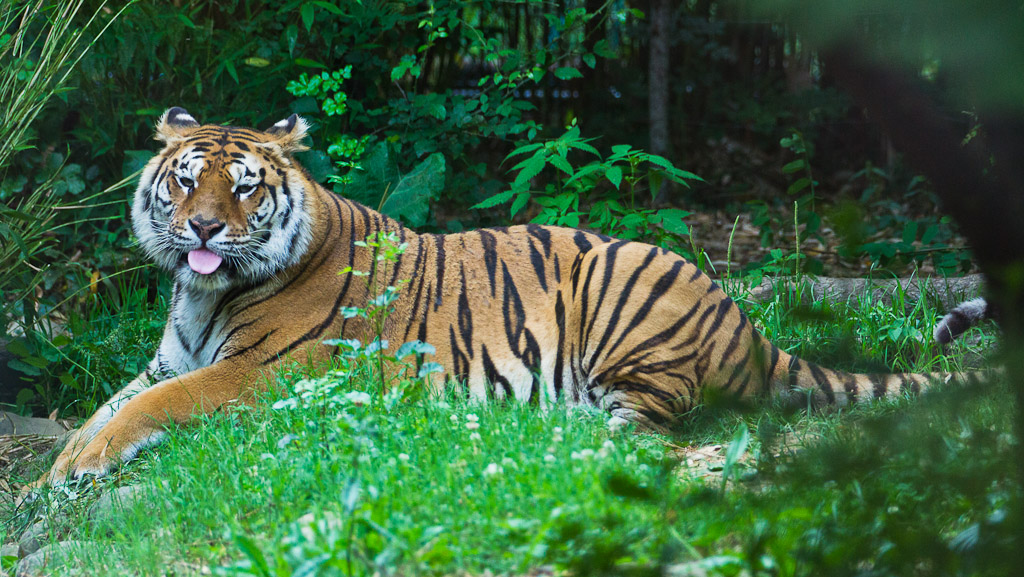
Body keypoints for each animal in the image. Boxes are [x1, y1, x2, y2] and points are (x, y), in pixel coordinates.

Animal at [29, 107, 962, 489]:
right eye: (187, 179)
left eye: (247, 187)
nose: (204, 229)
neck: (198, 294)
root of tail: (748, 320)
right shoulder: (168, 356)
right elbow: (107, 404)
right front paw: (50, 473)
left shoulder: (259, 373)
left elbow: (149, 407)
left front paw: (76, 467)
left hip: (621, 295)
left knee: (657, 426)